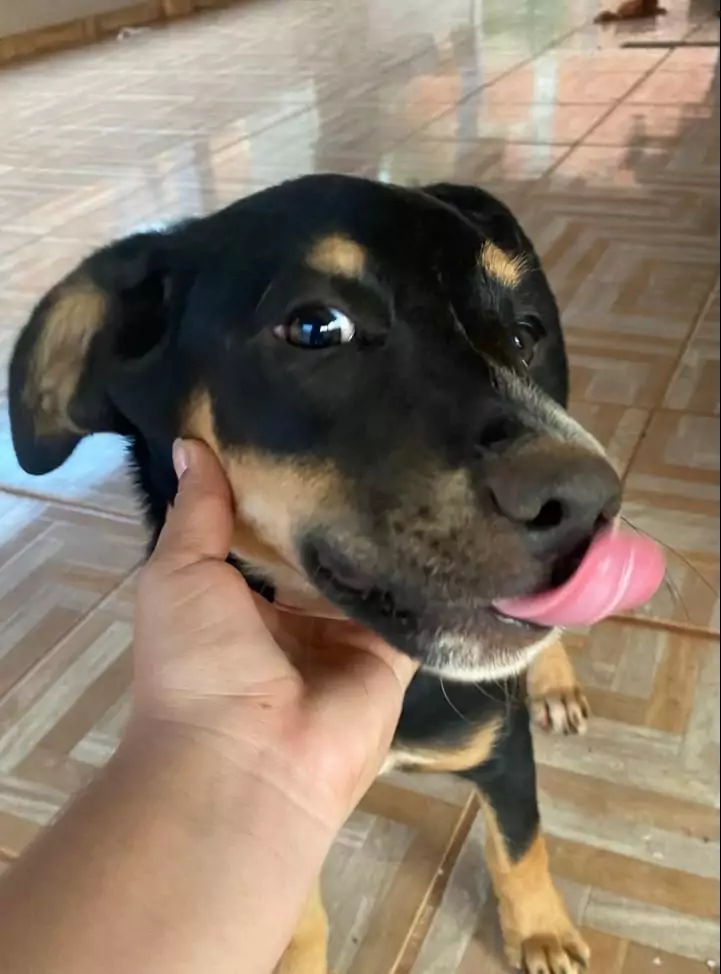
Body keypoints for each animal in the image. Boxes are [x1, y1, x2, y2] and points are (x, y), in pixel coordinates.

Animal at [9, 174, 622, 973]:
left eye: (521, 335)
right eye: (315, 328)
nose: (591, 504)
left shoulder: (502, 748)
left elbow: (519, 845)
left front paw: (540, 930)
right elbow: (296, 916)